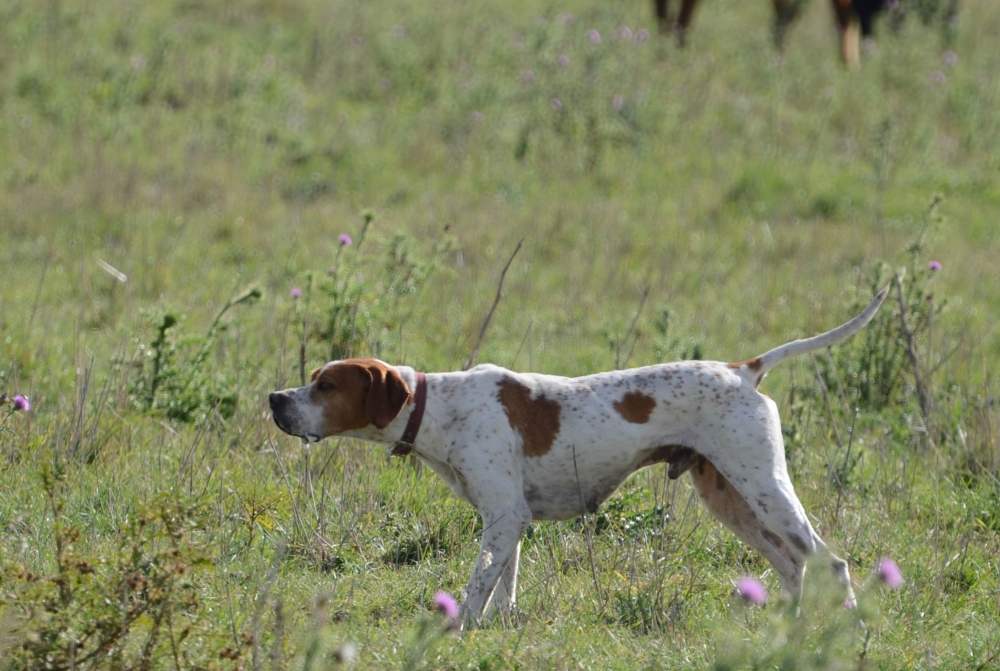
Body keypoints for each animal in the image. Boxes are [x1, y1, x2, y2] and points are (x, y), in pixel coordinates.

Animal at [270, 288, 888, 624]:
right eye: (312, 378)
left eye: (326, 385)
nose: (275, 399)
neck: (439, 407)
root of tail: (744, 369)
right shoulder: (509, 522)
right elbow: (503, 592)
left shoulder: (503, 517)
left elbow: (474, 593)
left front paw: (455, 630)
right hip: (729, 497)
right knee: (792, 565)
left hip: (763, 487)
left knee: (830, 562)